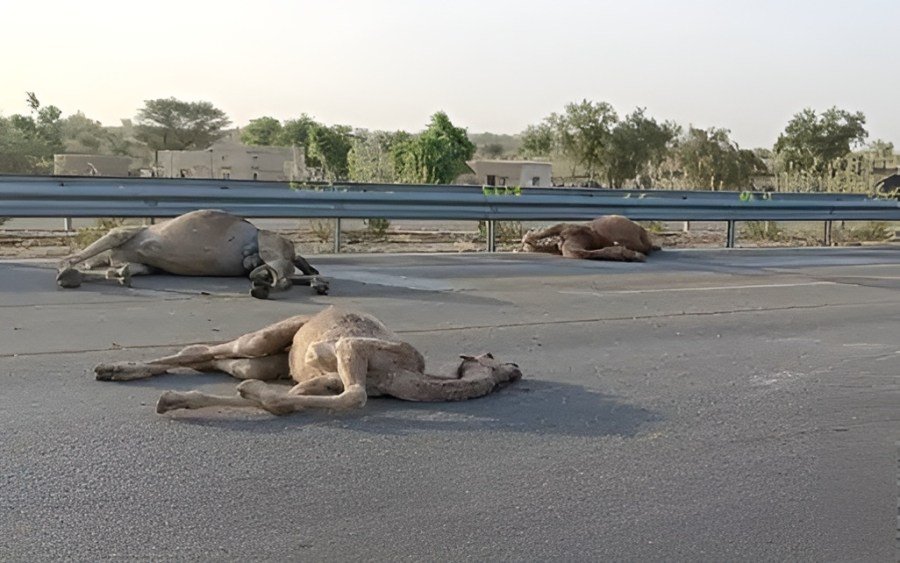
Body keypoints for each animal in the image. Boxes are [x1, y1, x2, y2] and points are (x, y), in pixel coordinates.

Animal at [56, 209, 327, 299]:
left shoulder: (122, 233)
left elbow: (78, 257)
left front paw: (65, 270)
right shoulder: (144, 264)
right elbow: (119, 270)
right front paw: (119, 274)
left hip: (269, 242)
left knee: (281, 277)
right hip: (270, 254)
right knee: (283, 275)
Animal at [94, 306, 523, 415]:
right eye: (493, 356)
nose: (517, 369)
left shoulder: (318, 381)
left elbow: (293, 397)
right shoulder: (349, 347)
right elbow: (354, 393)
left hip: (271, 360)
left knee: (222, 361)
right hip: (272, 334)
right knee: (214, 349)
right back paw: (113, 369)